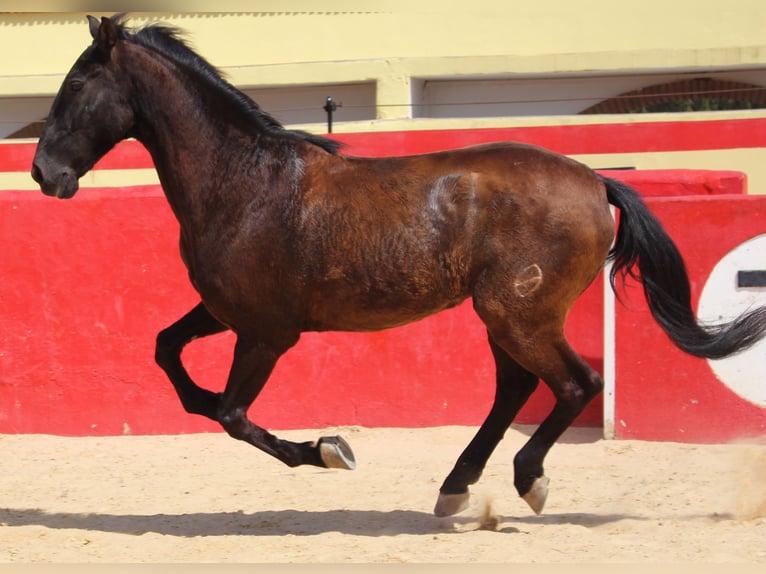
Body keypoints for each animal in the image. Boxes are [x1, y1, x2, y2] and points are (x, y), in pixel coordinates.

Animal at [31, 15, 766, 518]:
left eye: (76, 82)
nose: (43, 173)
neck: (244, 181)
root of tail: (595, 181)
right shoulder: (223, 312)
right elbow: (171, 358)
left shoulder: (267, 333)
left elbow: (234, 415)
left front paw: (331, 451)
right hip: (505, 317)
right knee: (515, 389)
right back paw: (455, 488)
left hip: (520, 313)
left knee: (575, 384)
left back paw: (526, 481)